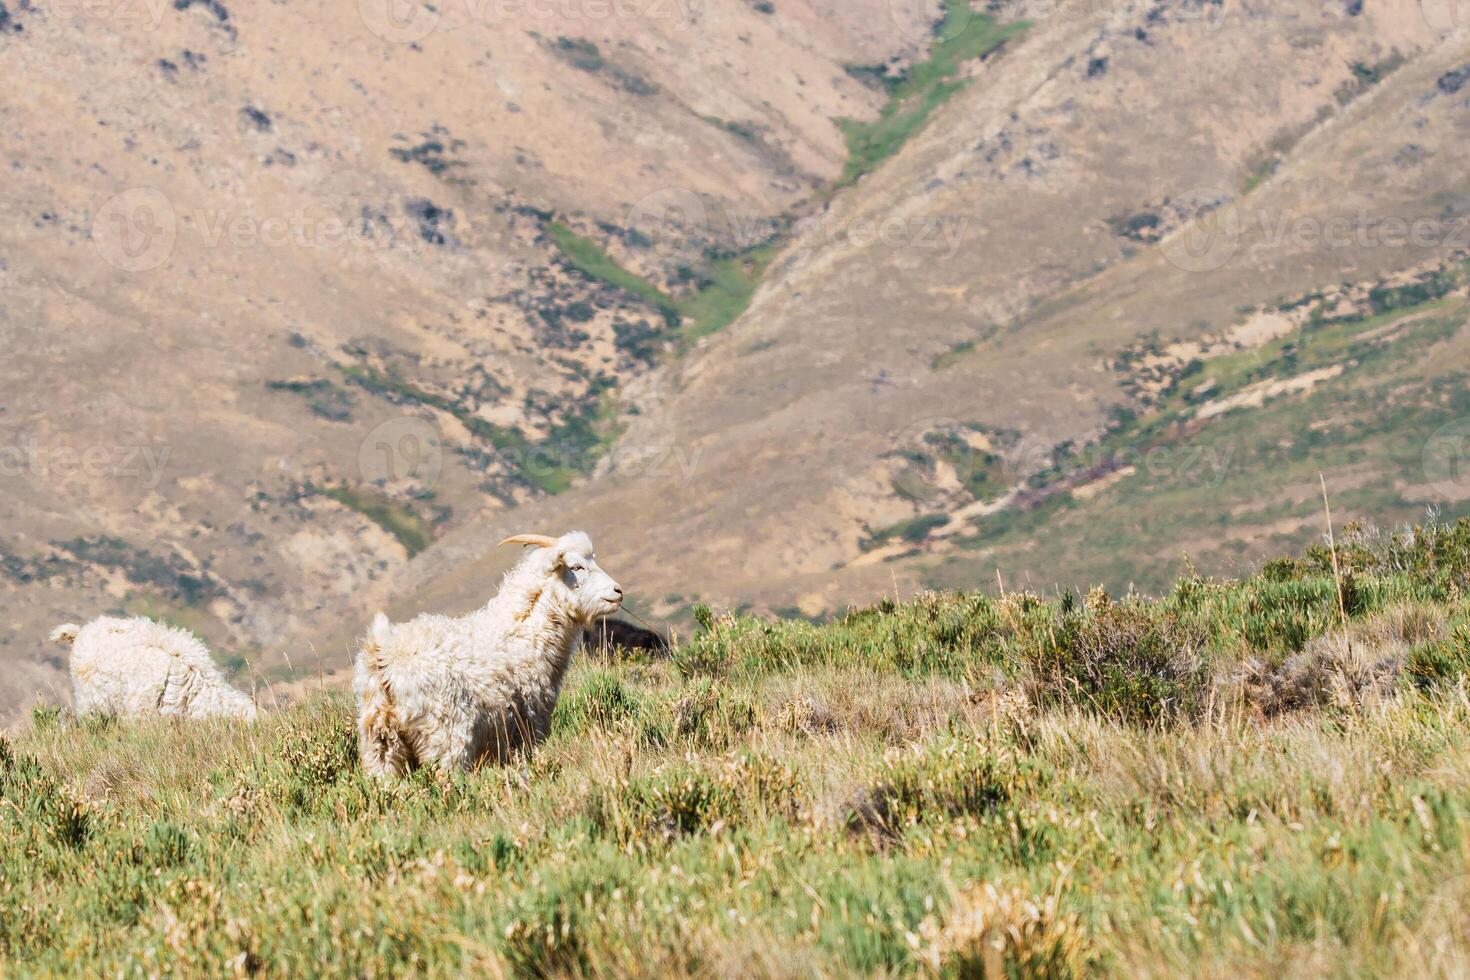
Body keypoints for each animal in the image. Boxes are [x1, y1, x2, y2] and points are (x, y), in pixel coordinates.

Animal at [361, 531, 626, 775]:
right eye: (576, 566)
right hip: (446, 738)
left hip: (379, 739)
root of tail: (384, 653)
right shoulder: (525, 727)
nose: (618, 591)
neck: (522, 632)